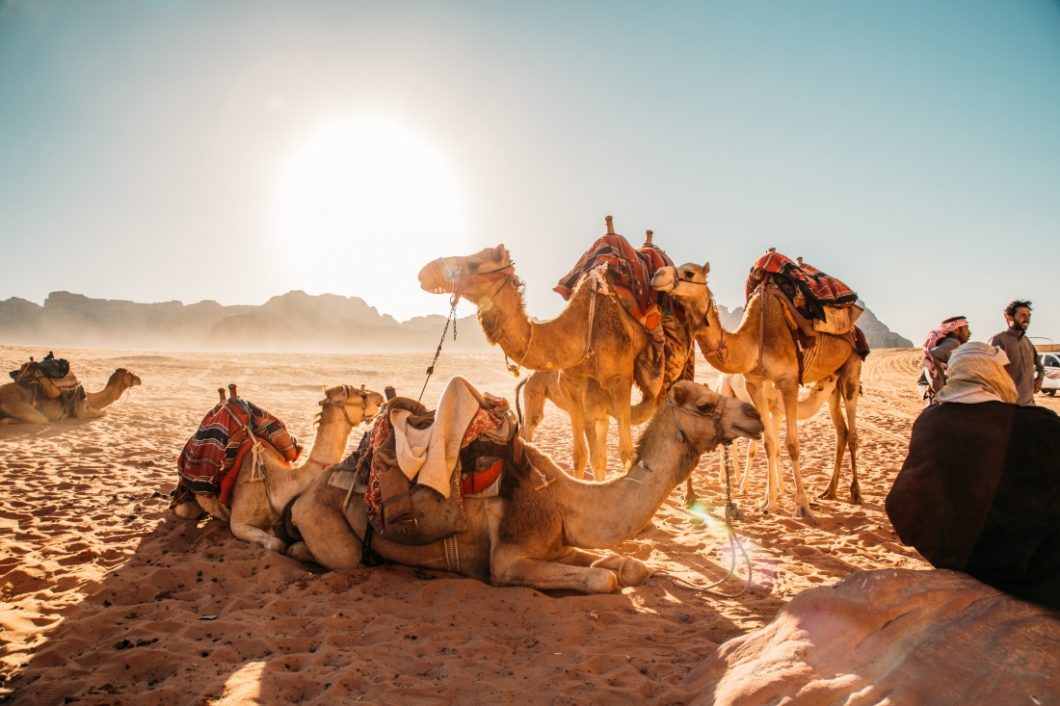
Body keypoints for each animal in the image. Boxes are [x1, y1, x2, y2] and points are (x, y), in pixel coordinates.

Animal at [0, 362, 142, 424]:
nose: (140, 379)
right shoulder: (81, 412)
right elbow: (105, 412)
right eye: (130, 374)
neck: (90, 398)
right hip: (23, 407)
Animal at [173, 381, 385, 551]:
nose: (381, 398)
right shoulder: (239, 523)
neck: (278, 483)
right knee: (186, 510)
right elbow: (276, 543)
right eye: (362, 394)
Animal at [281, 379, 763, 593]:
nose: (755, 415)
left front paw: (628, 565)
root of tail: (305, 491)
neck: (564, 499)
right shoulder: (509, 560)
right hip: (323, 519)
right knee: (335, 556)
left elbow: (623, 564)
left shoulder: (555, 544)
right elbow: (604, 578)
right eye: (706, 404)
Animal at [419, 236, 657, 479]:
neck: (584, 329)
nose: (425, 272)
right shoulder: (577, 392)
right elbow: (585, 457)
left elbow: (623, 455)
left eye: (474, 264)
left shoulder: (619, 383)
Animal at [648, 260, 864, 515]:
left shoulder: (788, 381)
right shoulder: (755, 384)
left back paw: (855, 493)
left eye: (689, 272)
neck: (755, 338)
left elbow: (791, 444)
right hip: (833, 381)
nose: (656, 275)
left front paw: (801, 505)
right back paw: (829, 491)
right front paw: (768, 502)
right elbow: (769, 443)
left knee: (852, 432)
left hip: (851, 369)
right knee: (841, 432)